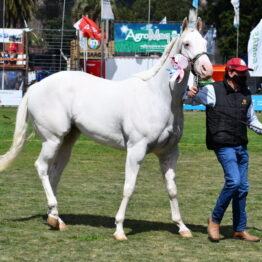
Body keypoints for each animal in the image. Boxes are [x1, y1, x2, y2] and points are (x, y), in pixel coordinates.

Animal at [0, 17, 213, 241]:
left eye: (205, 43)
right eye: (187, 44)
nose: (206, 69)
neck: (159, 96)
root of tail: (35, 87)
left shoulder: (169, 153)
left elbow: (172, 189)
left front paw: (182, 226)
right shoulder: (136, 150)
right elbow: (129, 188)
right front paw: (119, 229)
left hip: (66, 142)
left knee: (54, 174)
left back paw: (56, 219)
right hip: (52, 140)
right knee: (41, 168)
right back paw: (54, 212)